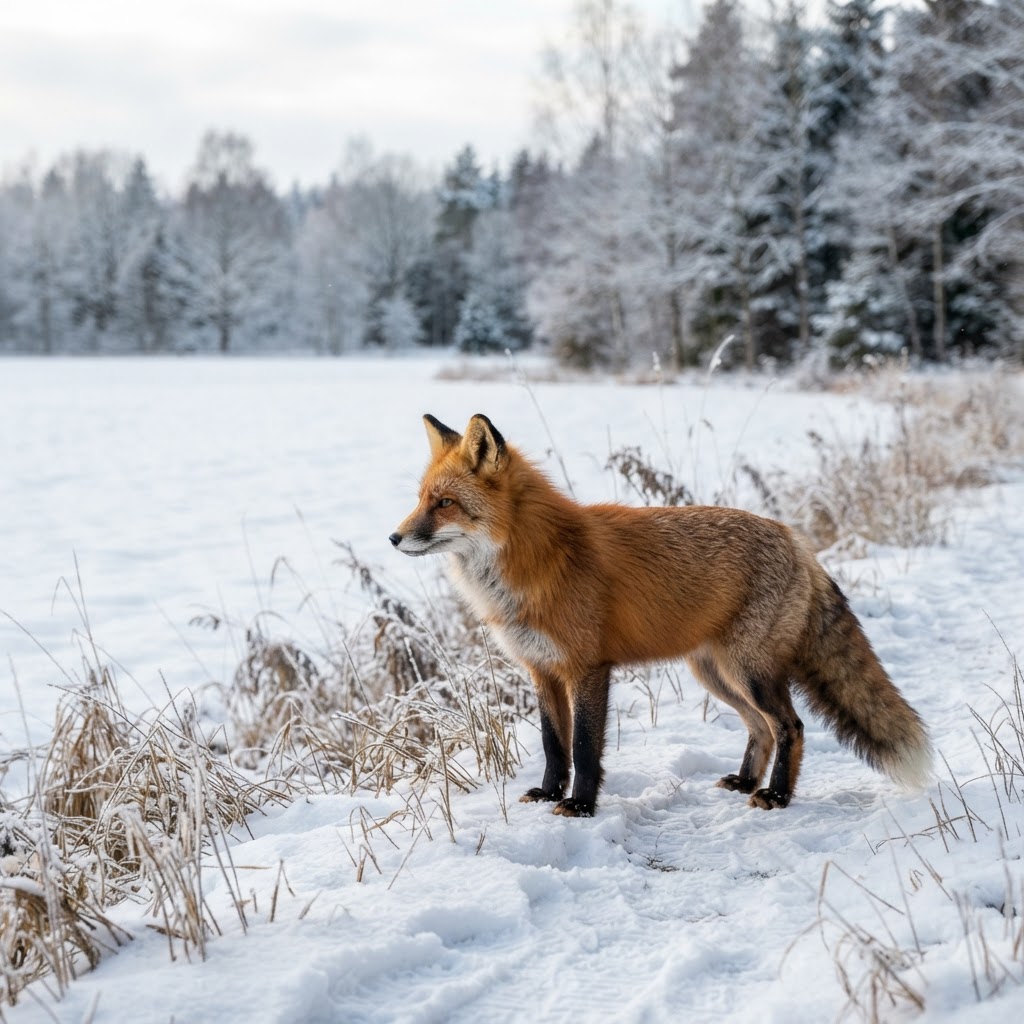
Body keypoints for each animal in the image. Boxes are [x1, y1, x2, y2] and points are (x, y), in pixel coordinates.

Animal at [389, 412, 932, 818]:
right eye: (419, 500)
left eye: (445, 503)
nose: (393, 538)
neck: (535, 559)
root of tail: (796, 540)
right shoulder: (542, 670)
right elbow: (552, 744)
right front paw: (548, 794)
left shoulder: (588, 668)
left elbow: (583, 747)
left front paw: (580, 806)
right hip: (716, 674)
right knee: (760, 728)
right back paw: (745, 781)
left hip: (749, 673)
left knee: (791, 727)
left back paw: (776, 795)